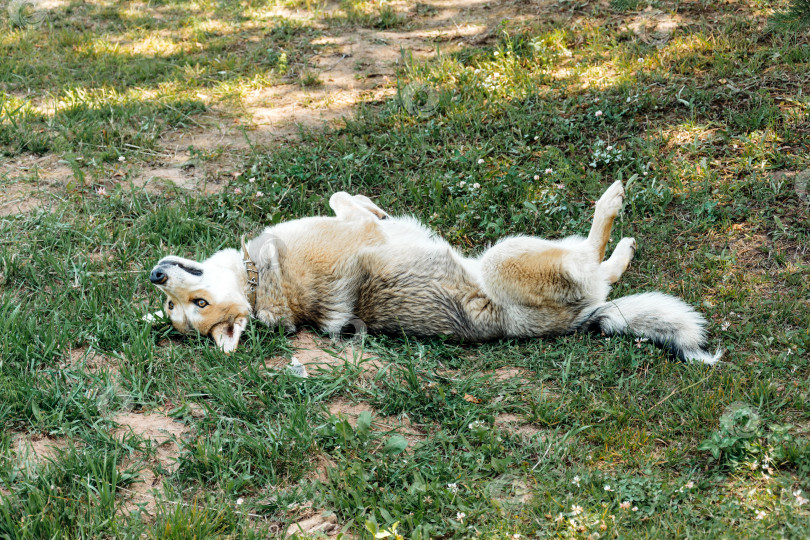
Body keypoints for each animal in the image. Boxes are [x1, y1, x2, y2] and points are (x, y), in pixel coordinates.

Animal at [150, 181, 720, 362]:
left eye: (187, 304)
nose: (157, 278)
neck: (257, 278)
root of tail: (583, 320)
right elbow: (354, 209)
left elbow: (344, 198)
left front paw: (374, 205)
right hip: (510, 252)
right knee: (593, 260)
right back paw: (612, 207)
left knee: (605, 270)